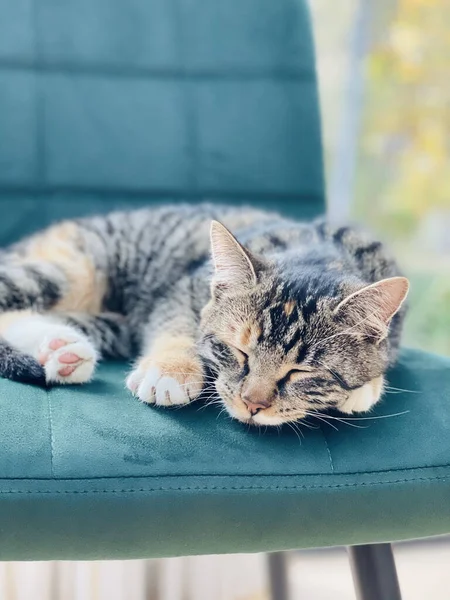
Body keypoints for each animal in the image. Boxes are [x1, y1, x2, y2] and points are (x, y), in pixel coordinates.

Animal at [0, 204, 410, 424]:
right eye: (239, 351)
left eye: (301, 372)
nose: (253, 404)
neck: (319, 254)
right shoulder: (180, 289)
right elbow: (177, 324)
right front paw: (169, 370)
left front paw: (365, 385)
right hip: (74, 268)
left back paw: (62, 351)